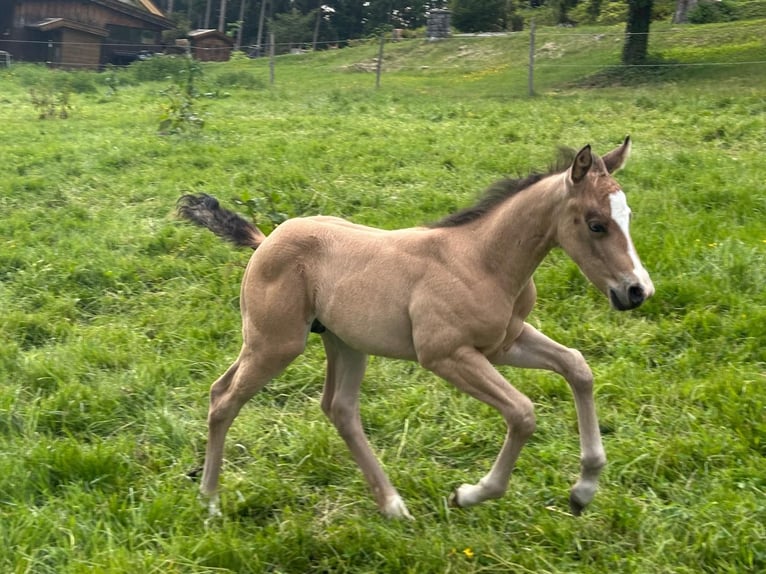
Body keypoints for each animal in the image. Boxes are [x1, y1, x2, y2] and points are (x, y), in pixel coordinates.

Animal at [177, 137, 654, 520]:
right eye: (596, 223)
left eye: (629, 215)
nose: (637, 291)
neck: (481, 261)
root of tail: (266, 239)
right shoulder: (446, 355)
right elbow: (522, 413)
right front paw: (469, 493)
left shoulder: (505, 342)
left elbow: (577, 367)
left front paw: (583, 490)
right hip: (275, 343)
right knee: (224, 399)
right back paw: (211, 502)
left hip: (343, 343)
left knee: (338, 408)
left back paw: (393, 506)